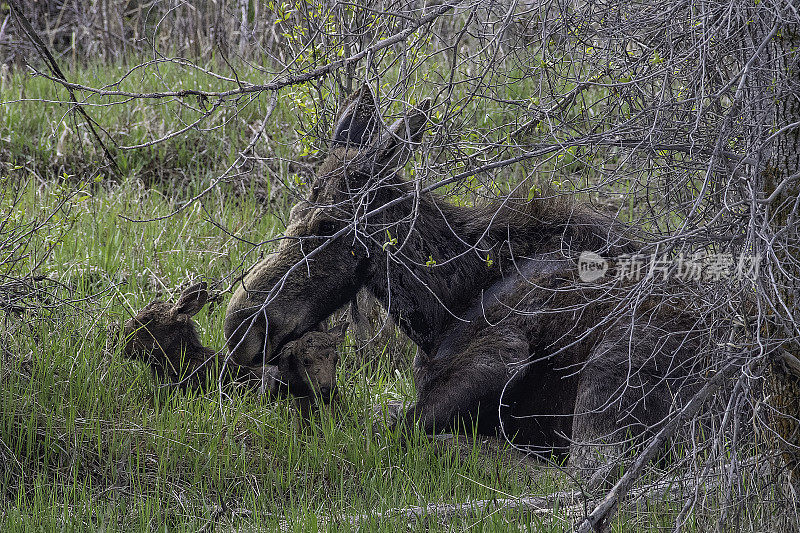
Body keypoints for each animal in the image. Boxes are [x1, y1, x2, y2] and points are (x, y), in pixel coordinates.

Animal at [222, 84, 704, 478]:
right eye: (292, 212)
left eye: (326, 225)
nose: (240, 326)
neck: (439, 308)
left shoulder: (503, 353)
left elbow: (389, 425)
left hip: (613, 370)